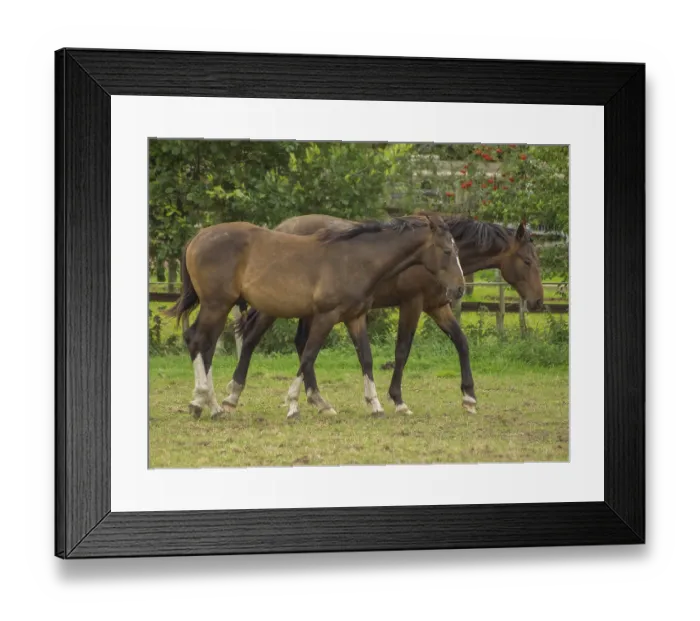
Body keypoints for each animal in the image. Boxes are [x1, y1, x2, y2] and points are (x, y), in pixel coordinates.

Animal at [166, 213, 465, 420]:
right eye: (448, 251)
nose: (459, 289)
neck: (355, 260)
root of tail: (196, 238)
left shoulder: (355, 317)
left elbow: (366, 358)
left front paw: (376, 405)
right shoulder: (326, 316)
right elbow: (308, 355)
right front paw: (293, 406)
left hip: (220, 306)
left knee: (203, 344)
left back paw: (210, 405)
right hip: (217, 304)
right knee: (198, 342)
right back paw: (207, 403)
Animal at [238, 213, 544, 415]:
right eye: (527, 261)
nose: (538, 301)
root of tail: (279, 228)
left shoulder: (438, 306)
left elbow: (461, 342)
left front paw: (469, 397)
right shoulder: (412, 304)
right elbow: (402, 350)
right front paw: (397, 399)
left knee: (302, 345)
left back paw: (319, 401)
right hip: (276, 308)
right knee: (253, 338)